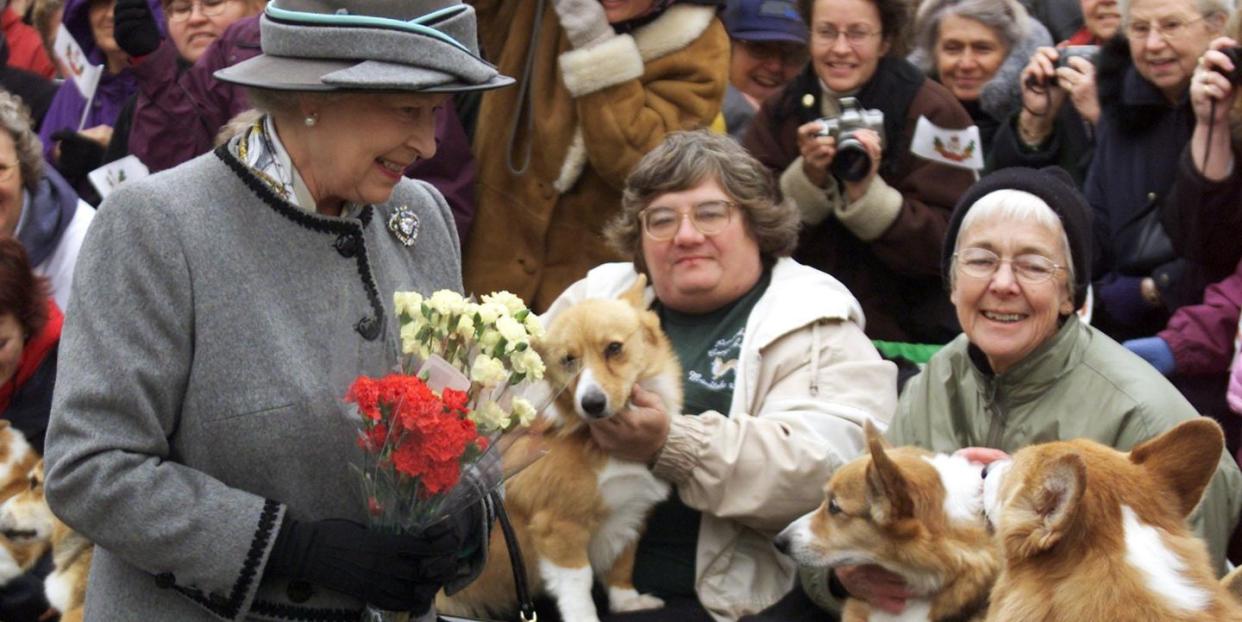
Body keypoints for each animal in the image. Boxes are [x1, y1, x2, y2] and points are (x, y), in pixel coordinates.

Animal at [439, 275, 680, 620]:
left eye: (614, 348)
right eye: (568, 360)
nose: (592, 403)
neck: (594, 439)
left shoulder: (628, 517)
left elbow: (621, 566)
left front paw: (629, 602)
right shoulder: (560, 527)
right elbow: (580, 585)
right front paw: (587, 616)